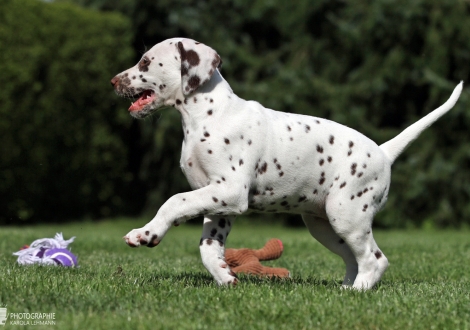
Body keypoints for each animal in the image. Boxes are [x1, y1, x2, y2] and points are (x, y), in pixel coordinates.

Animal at [111, 37, 462, 288]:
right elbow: (208, 247)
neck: (206, 116)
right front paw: (224, 275)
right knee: (354, 258)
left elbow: (174, 201)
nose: (114, 81)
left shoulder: (230, 191)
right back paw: (346, 290)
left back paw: (359, 291)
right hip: (325, 225)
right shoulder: (219, 203)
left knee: (375, 259)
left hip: (347, 215)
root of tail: (383, 151)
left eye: (145, 61)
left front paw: (146, 233)